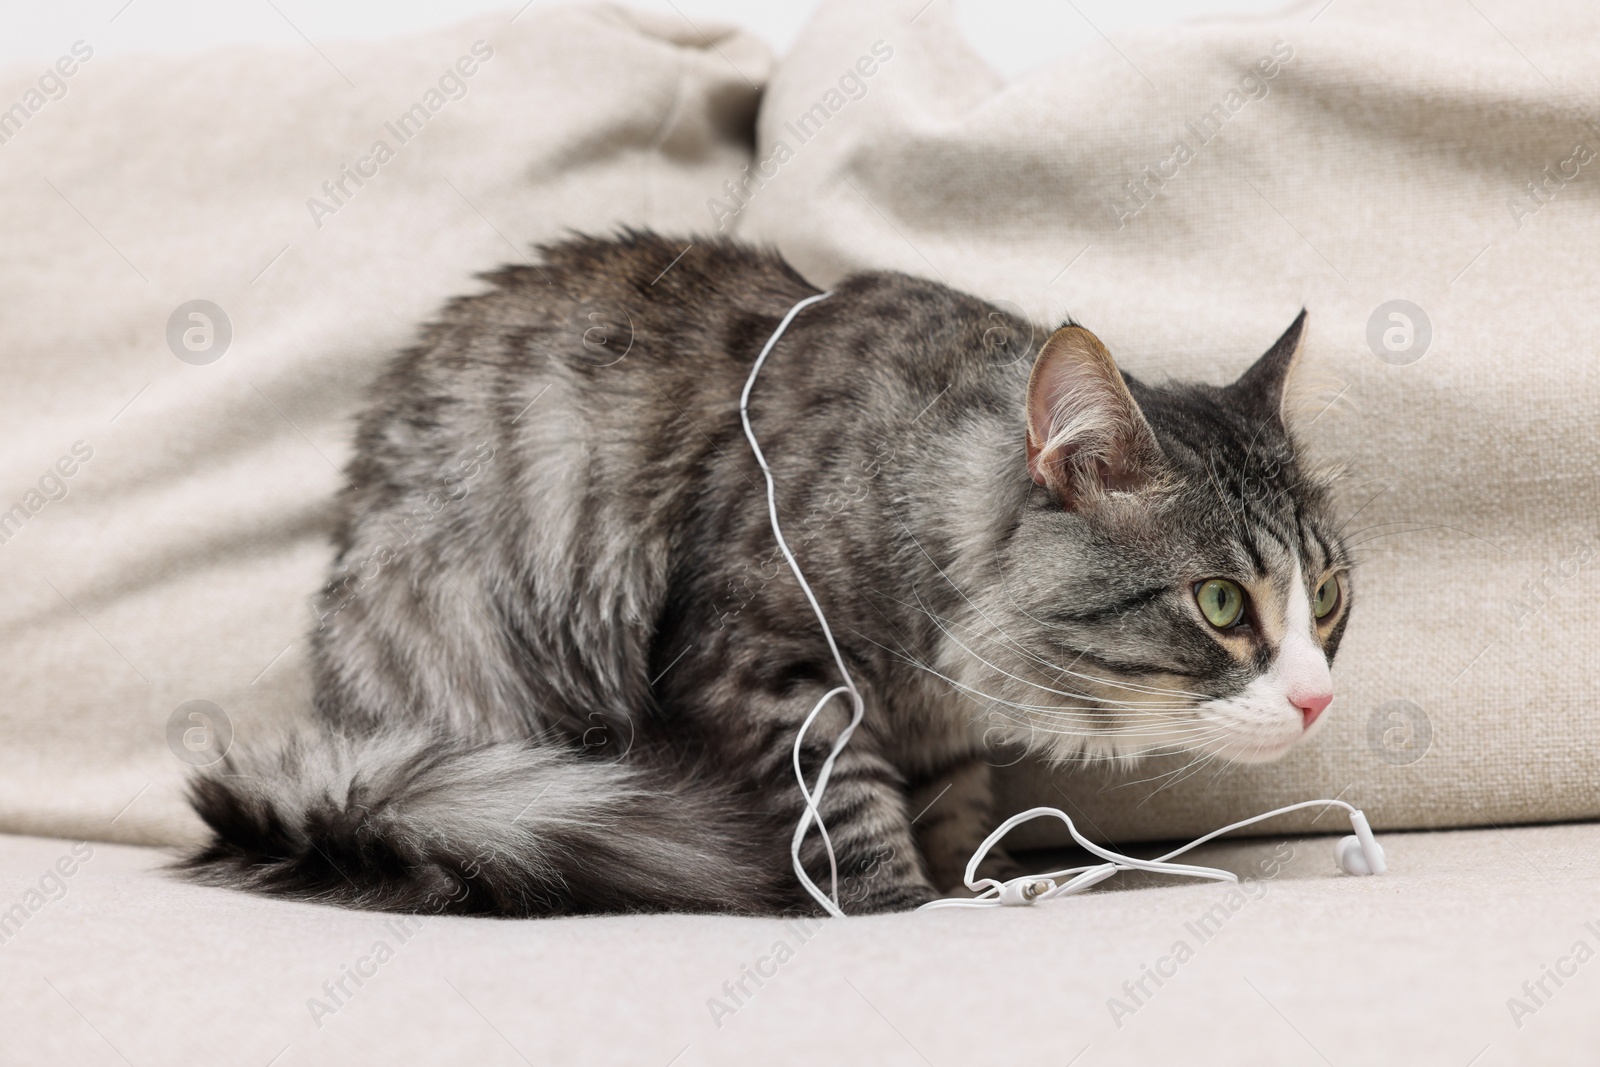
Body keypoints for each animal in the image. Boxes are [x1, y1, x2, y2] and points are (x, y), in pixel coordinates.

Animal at [184, 233, 1350, 921]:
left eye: (1329, 599)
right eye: (1220, 603)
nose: (1318, 697)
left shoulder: (946, 735)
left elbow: (949, 803)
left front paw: (965, 877)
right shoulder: (763, 659)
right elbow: (848, 802)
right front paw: (907, 905)